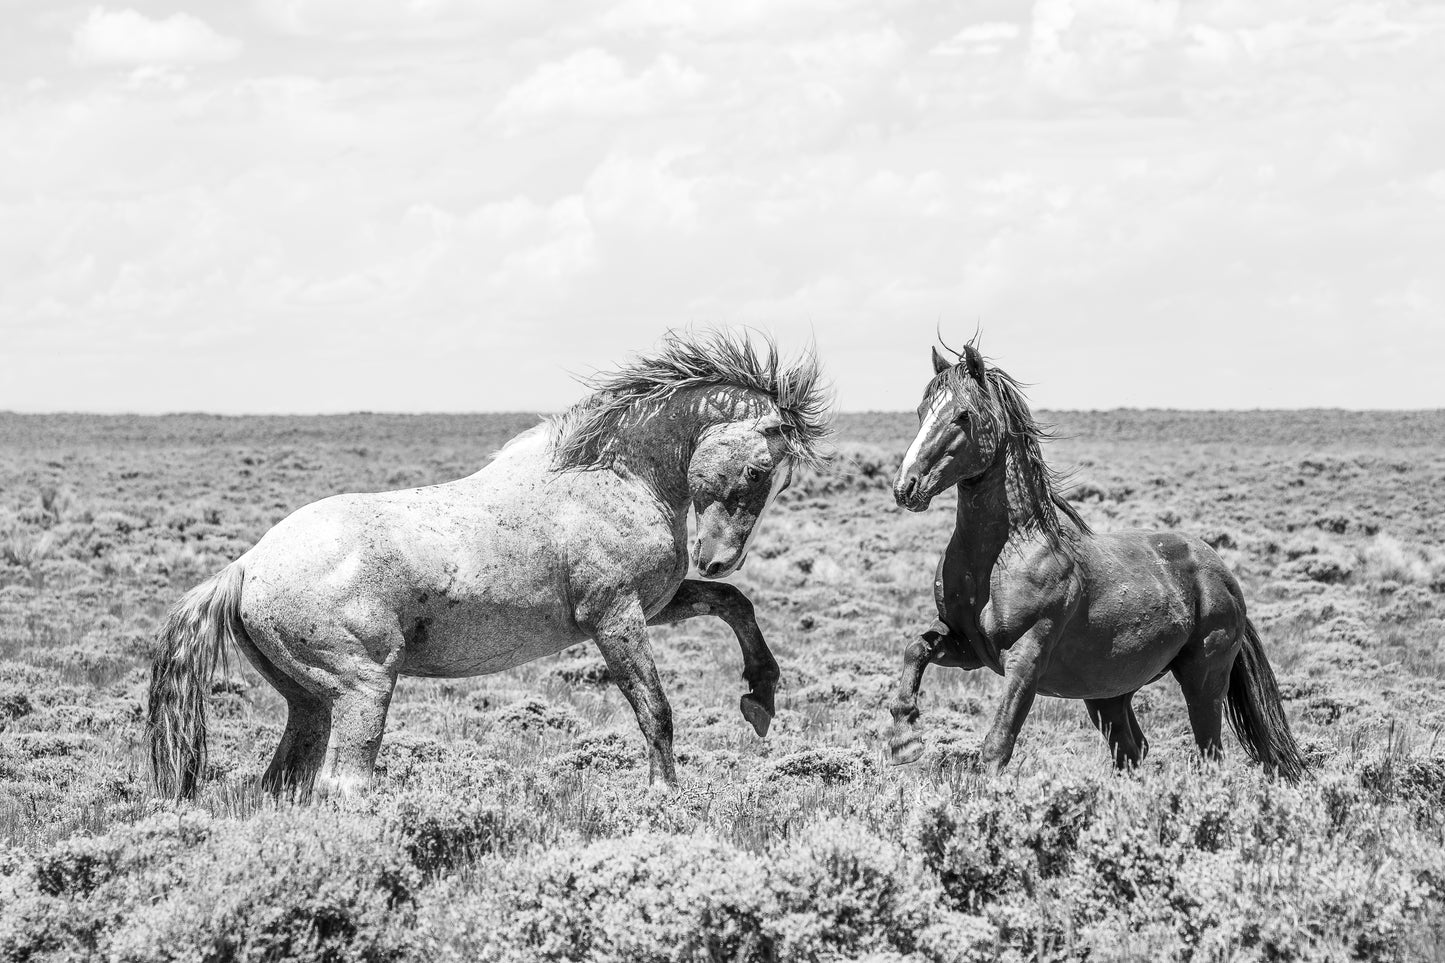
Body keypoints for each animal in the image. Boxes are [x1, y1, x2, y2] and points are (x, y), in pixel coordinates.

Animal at [148, 331, 831, 798]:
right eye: (759, 469)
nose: (718, 559)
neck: (614, 476)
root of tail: (245, 567)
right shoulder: (615, 618)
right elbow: (654, 710)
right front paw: (665, 795)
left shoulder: (656, 606)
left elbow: (734, 606)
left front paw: (761, 696)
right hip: (363, 689)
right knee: (343, 784)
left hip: (309, 702)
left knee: (282, 782)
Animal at [885, 339, 1305, 781]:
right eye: (921, 411)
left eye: (963, 415)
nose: (906, 487)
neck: (1000, 559)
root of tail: (1223, 574)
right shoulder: (966, 646)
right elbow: (915, 649)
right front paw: (903, 739)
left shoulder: (1026, 658)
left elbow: (998, 744)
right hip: (1108, 693)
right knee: (1133, 749)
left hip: (1203, 677)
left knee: (1209, 753)